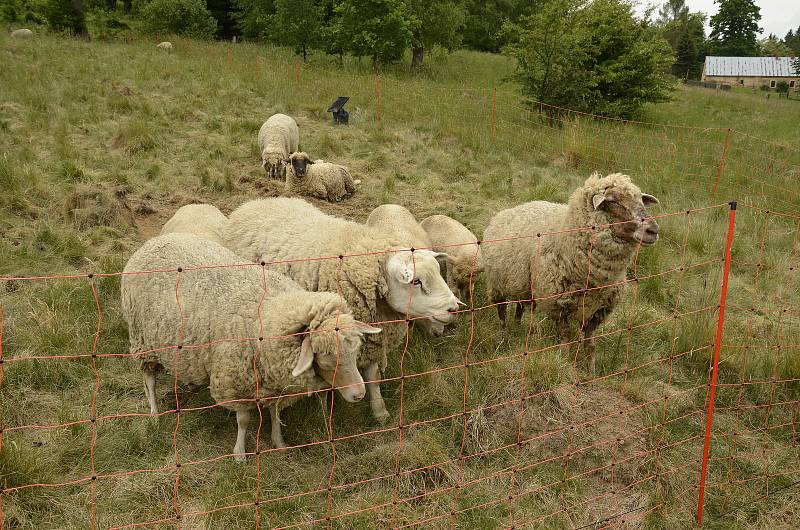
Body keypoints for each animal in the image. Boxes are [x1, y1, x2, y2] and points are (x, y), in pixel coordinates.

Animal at [120, 231, 380, 458]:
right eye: (325, 358)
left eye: (355, 353)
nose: (359, 394)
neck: (271, 310)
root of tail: (154, 241)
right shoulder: (235, 383)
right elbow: (243, 421)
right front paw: (240, 454)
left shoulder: (276, 381)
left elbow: (275, 412)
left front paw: (279, 442)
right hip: (143, 340)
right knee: (150, 380)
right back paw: (154, 414)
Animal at [222, 197, 462, 420]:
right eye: (416, 281)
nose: (453, 309)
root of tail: (254, 202)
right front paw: (324, 413)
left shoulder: (372, 341)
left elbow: (373, 379)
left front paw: (379, 411)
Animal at [482, 171, 664, 370]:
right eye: (613, 201)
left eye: (640, 199)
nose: (653, 230)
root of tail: (511, 209)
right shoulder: (558, 304)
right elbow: (566, 338)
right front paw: (564, 363)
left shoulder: (598, 310)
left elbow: (590, 344)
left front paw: (591, 370)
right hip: (497, 284)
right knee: (501, 311)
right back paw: (504, 335)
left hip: (523, 282)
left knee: (520, 306)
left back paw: (518, 328)